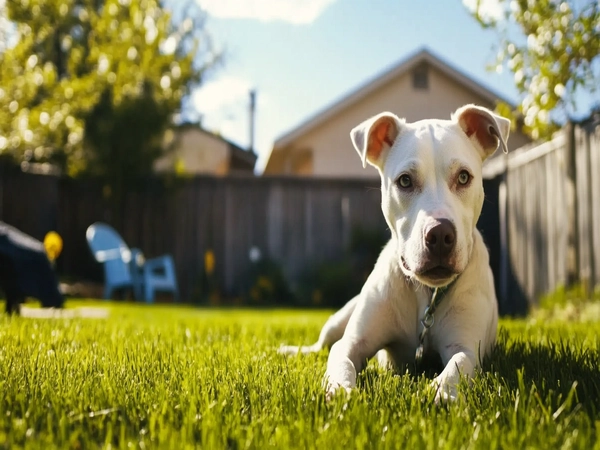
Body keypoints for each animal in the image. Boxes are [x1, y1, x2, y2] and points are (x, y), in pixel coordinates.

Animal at [278, 103, 508, 402]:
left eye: (464, 177)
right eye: (405, 181)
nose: (440, 235)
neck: (426, 294)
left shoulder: (467, 346)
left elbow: (458, 364)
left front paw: (441, 391)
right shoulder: (353, 342)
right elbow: (340, 359)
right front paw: (340, 389)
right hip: (340, 317)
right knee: (321, 345)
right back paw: (291, 351)